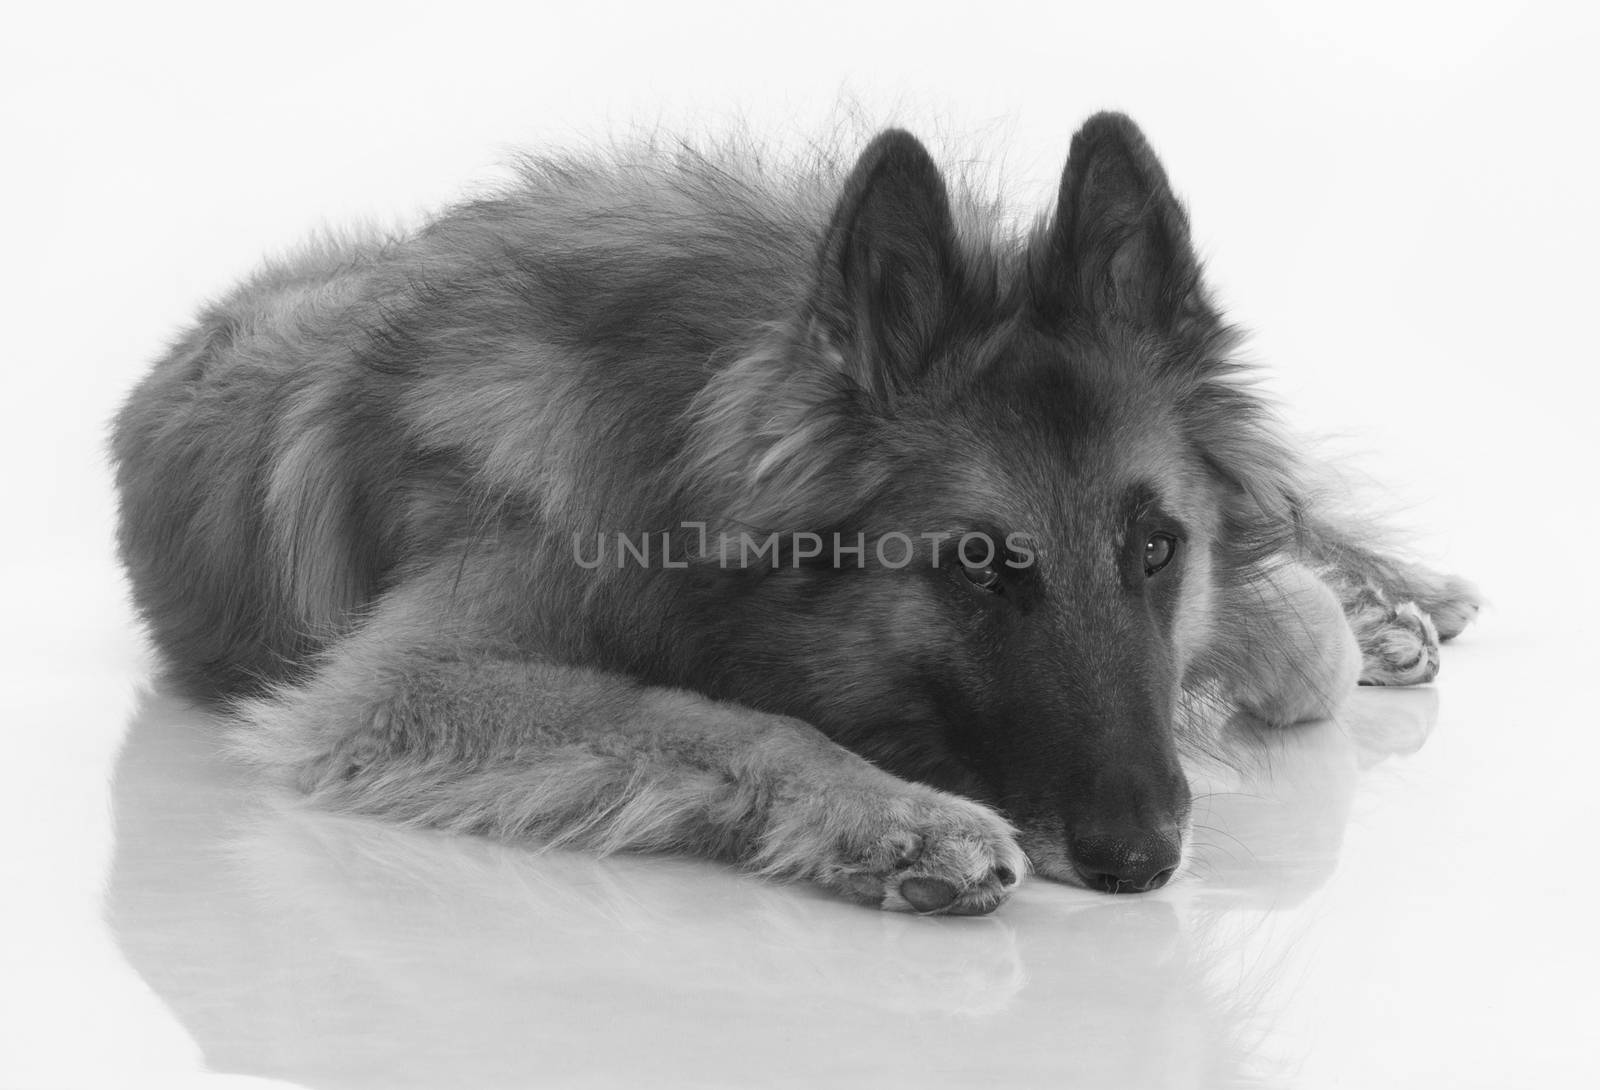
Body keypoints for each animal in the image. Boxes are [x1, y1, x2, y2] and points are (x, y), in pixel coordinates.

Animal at [118, 114, 1478, 915]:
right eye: (975, 566)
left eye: (1155, 548)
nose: (1141, 858)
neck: (680, 429)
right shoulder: (393, 690)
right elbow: (707, 716)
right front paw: (899, 815)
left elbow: (1292, 617)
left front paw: (1313, 610)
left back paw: (1395, 589)